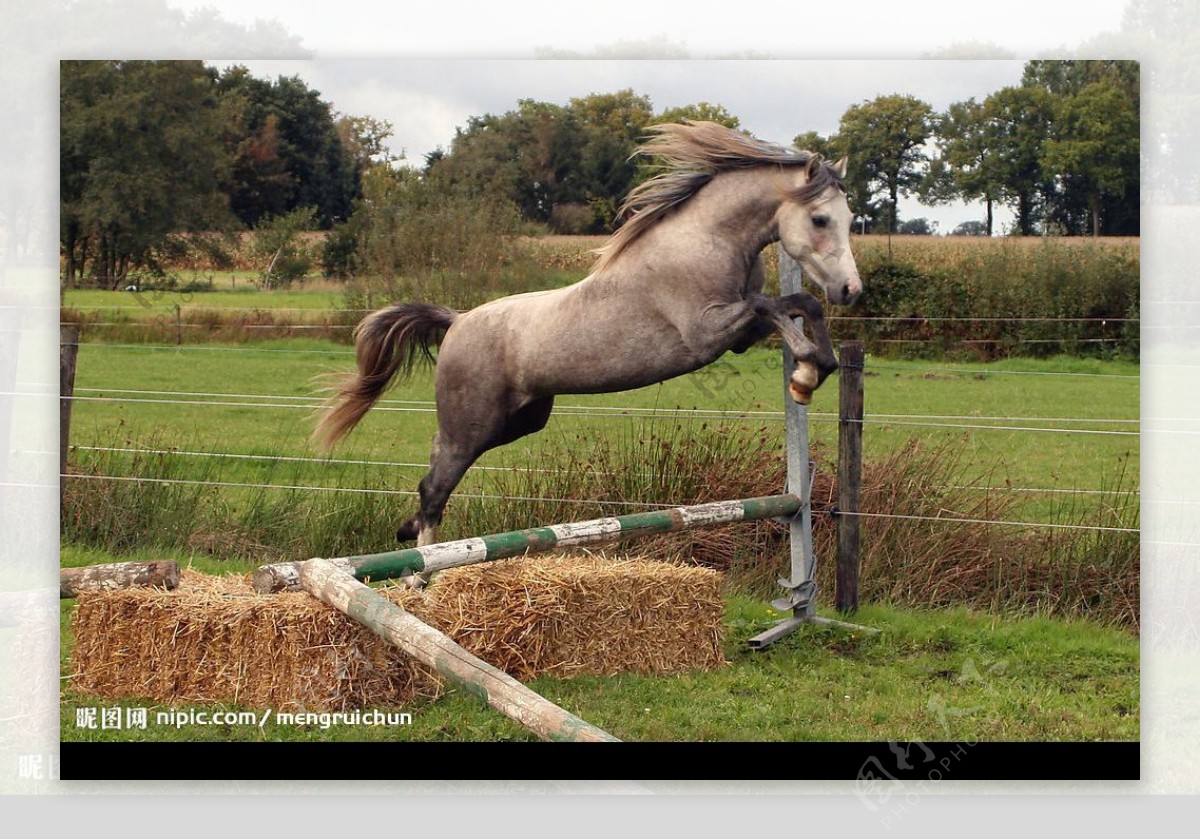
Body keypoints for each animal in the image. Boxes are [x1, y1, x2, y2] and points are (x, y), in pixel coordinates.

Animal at [316, 120, 864, 564]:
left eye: (848, 219)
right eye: (820, 219)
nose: (851, 290)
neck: (706, 240)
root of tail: (458, 320)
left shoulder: (739, 336)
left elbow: (798, 304)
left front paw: (812, 371)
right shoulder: (709, 332)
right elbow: (774, 306)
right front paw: (805, 372)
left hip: (517, 422)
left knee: (434, 470)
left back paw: (406, 532)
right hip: (474, 425)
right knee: (435, 485)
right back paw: (422, 573)